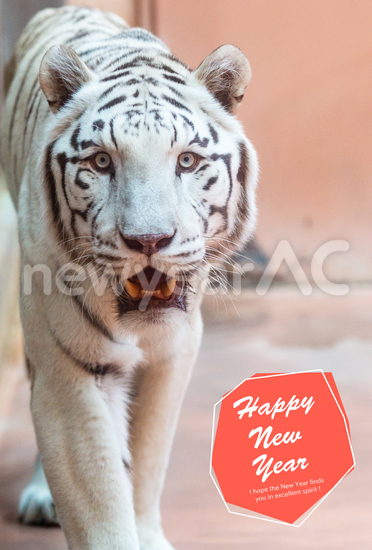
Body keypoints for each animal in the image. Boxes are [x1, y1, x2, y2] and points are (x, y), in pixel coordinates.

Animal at [0, 5, 258, 550]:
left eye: (187, 160)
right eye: (101, 161)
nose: (149, 240)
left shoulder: (171, 354)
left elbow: (146, 462)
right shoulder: (70, 362)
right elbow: (98, 493)